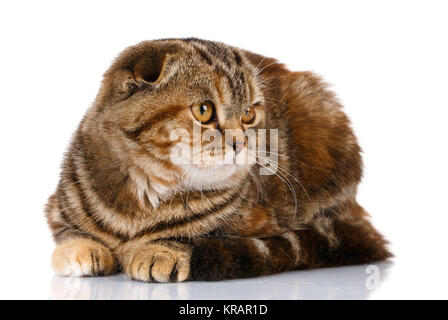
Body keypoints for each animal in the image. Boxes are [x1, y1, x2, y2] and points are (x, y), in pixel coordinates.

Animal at [43, 38, 390, 282]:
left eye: (249, 114)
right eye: (204, 110)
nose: (240, 143)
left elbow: (192, 235)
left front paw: (160, 250)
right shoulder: (56, 208)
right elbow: (69, 232)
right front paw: (79, 250)